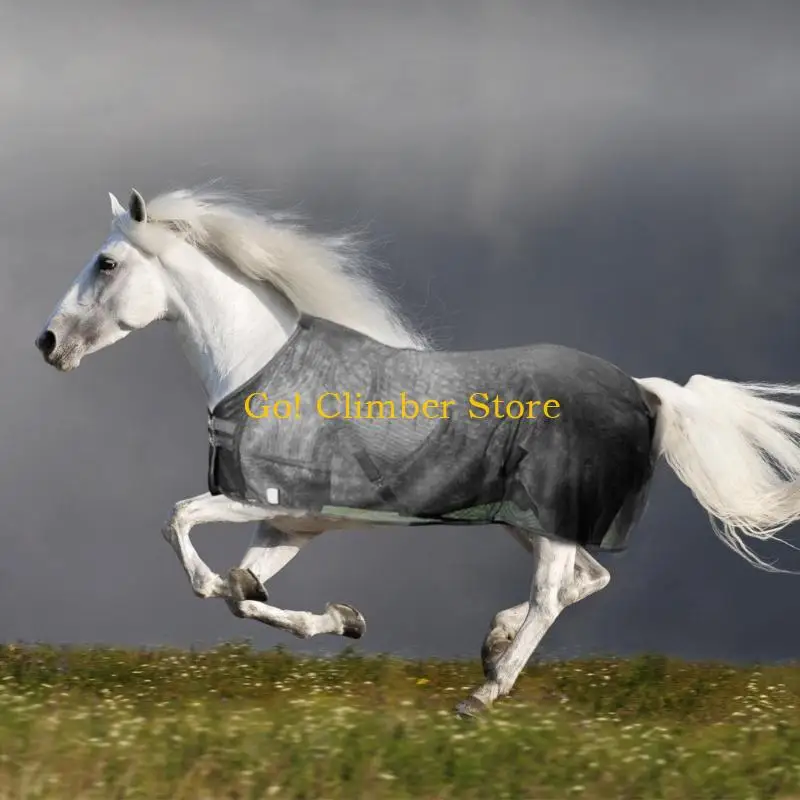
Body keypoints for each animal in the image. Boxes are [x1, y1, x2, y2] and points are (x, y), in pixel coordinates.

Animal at [34, 187, 800, 717]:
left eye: (107, 263)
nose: (47, 342)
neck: (266, 370)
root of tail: (644, 390)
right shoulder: (291, 524)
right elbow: (241, 598)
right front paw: (340, 617)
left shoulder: (257, 500)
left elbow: (183, 532)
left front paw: (291, 602)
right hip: (528, 524)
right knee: (585, 580)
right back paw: (492, 647)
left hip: (548, 522)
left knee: (554, 593)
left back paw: (485, 693)